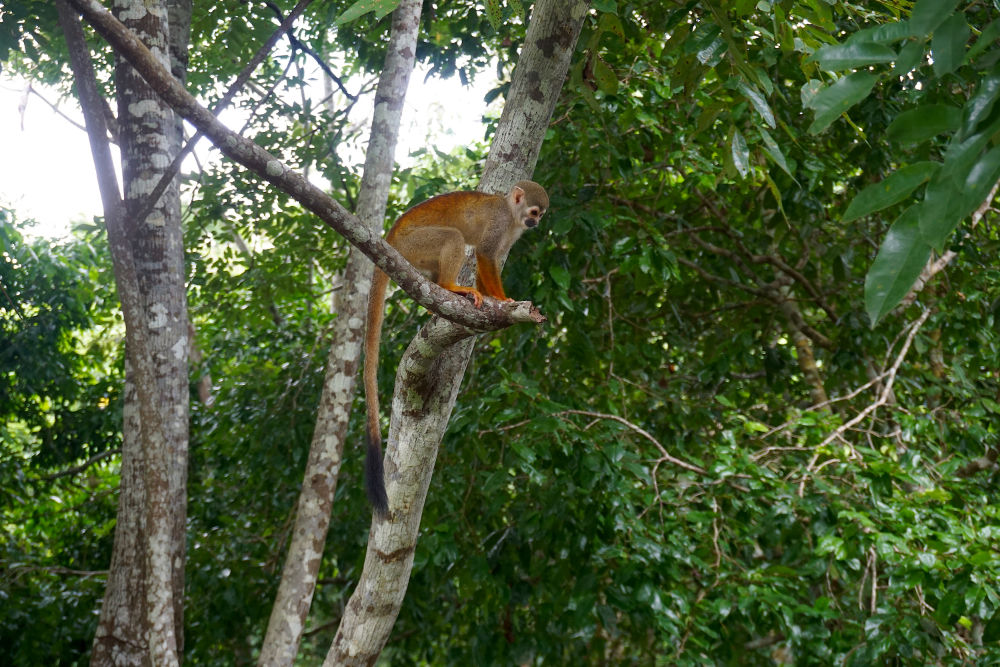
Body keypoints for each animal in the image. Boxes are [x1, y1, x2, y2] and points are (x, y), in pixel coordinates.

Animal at [362, 183, 548, 516]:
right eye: (534, 211)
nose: (535, 224)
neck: (512, 214)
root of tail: (390, 239)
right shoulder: (500, 221)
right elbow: (485, 253)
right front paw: (503, 300)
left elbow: (490, 259)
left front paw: (491, 297)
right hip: (414, 246)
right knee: (452, 237)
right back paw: (451, 286)